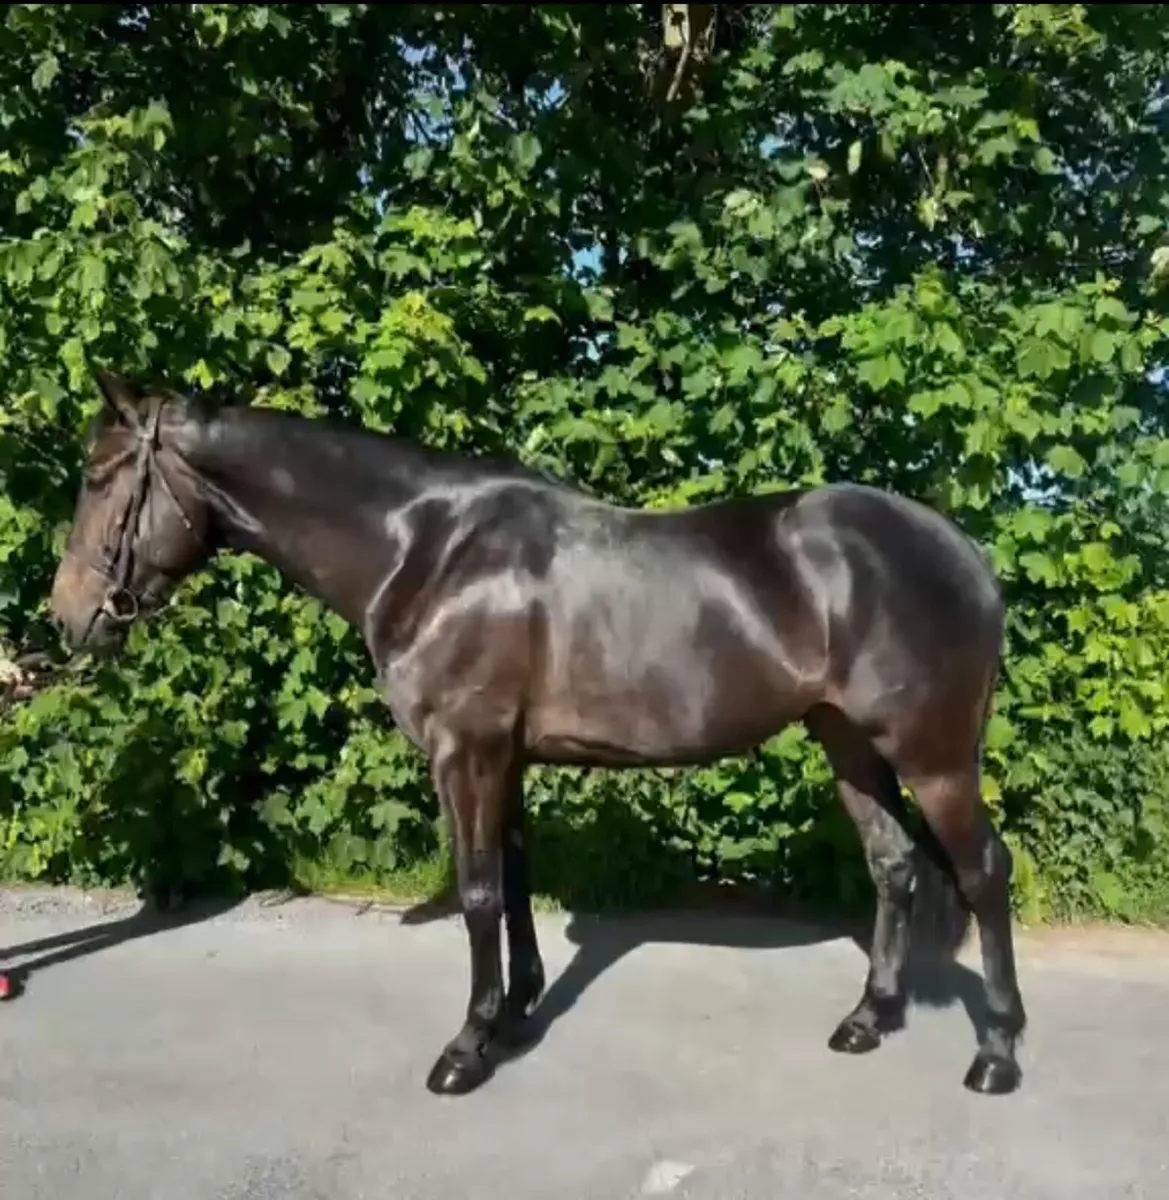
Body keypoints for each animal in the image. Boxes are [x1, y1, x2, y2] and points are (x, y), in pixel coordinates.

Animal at [47, 366, 1026, 1098]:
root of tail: (965, 554)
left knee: (983, 872)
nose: (70, 620)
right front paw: (514, 1017)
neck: (426, 550)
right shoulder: (503, 758)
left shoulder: (466, 751)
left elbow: (479, 892)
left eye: (100, 479)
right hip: (847, 741)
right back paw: (867, 1020)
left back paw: (996, 1054)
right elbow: (513, 882)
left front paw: (464, 1049)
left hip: (935, 757)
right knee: (893, 865)